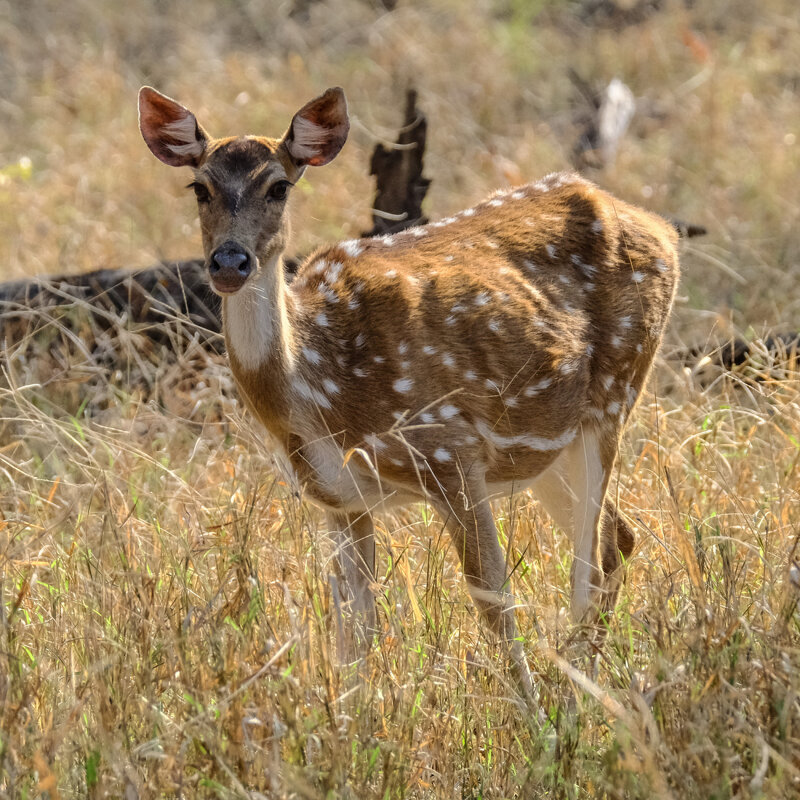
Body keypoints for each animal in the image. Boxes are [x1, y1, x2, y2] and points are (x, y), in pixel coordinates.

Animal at [139, 84, 680, 692]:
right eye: (199, 187)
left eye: (279, 185)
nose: (230, 261)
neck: (317, 391)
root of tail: (663, 228)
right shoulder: (339, 498)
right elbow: (354, 630)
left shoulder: (449, 452)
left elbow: (493, 597)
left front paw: (532, 711)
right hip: (549, 452)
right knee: (620, 537)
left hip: (614, 395)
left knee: (593, 559)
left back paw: (577, 691)